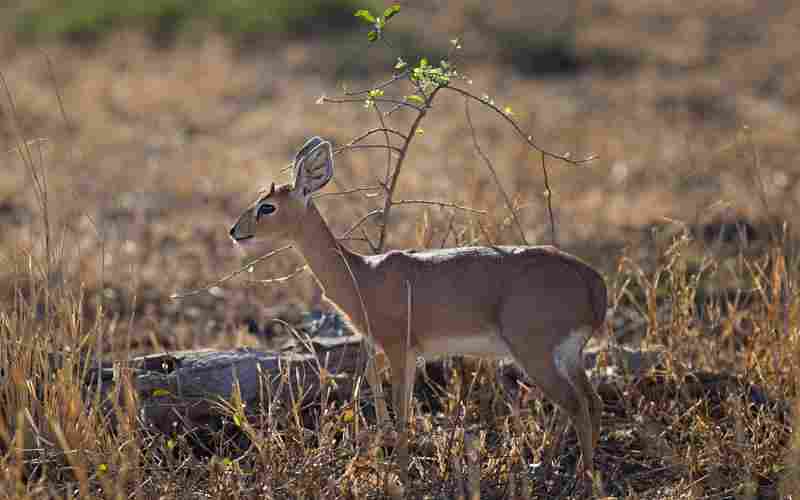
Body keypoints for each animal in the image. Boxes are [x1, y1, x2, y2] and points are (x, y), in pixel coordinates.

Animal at [230, 136, 608, 484]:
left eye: (267, 207)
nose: (235, 231)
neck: (362, 276)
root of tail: (593, 282)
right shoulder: (408, 354)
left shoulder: (399, 349)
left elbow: (400, 415)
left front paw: (402, 476)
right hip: (569, 355)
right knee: (592, 401)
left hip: (536, 354)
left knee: (575, 404)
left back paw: (582, 477)